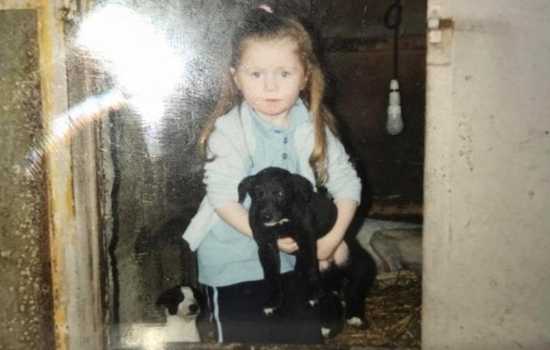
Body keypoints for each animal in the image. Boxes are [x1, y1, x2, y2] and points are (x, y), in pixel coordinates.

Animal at [239, 166, 378, 330]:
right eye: (257, 194)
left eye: (280, 193)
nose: (266, 216)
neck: (281, 223)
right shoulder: (266, 246)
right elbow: (272, 275)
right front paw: (273, 302)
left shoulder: (306, 239)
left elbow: (311, 267)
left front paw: (313, 295)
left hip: (356, 264)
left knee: (355, 291)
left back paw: (354, 316)